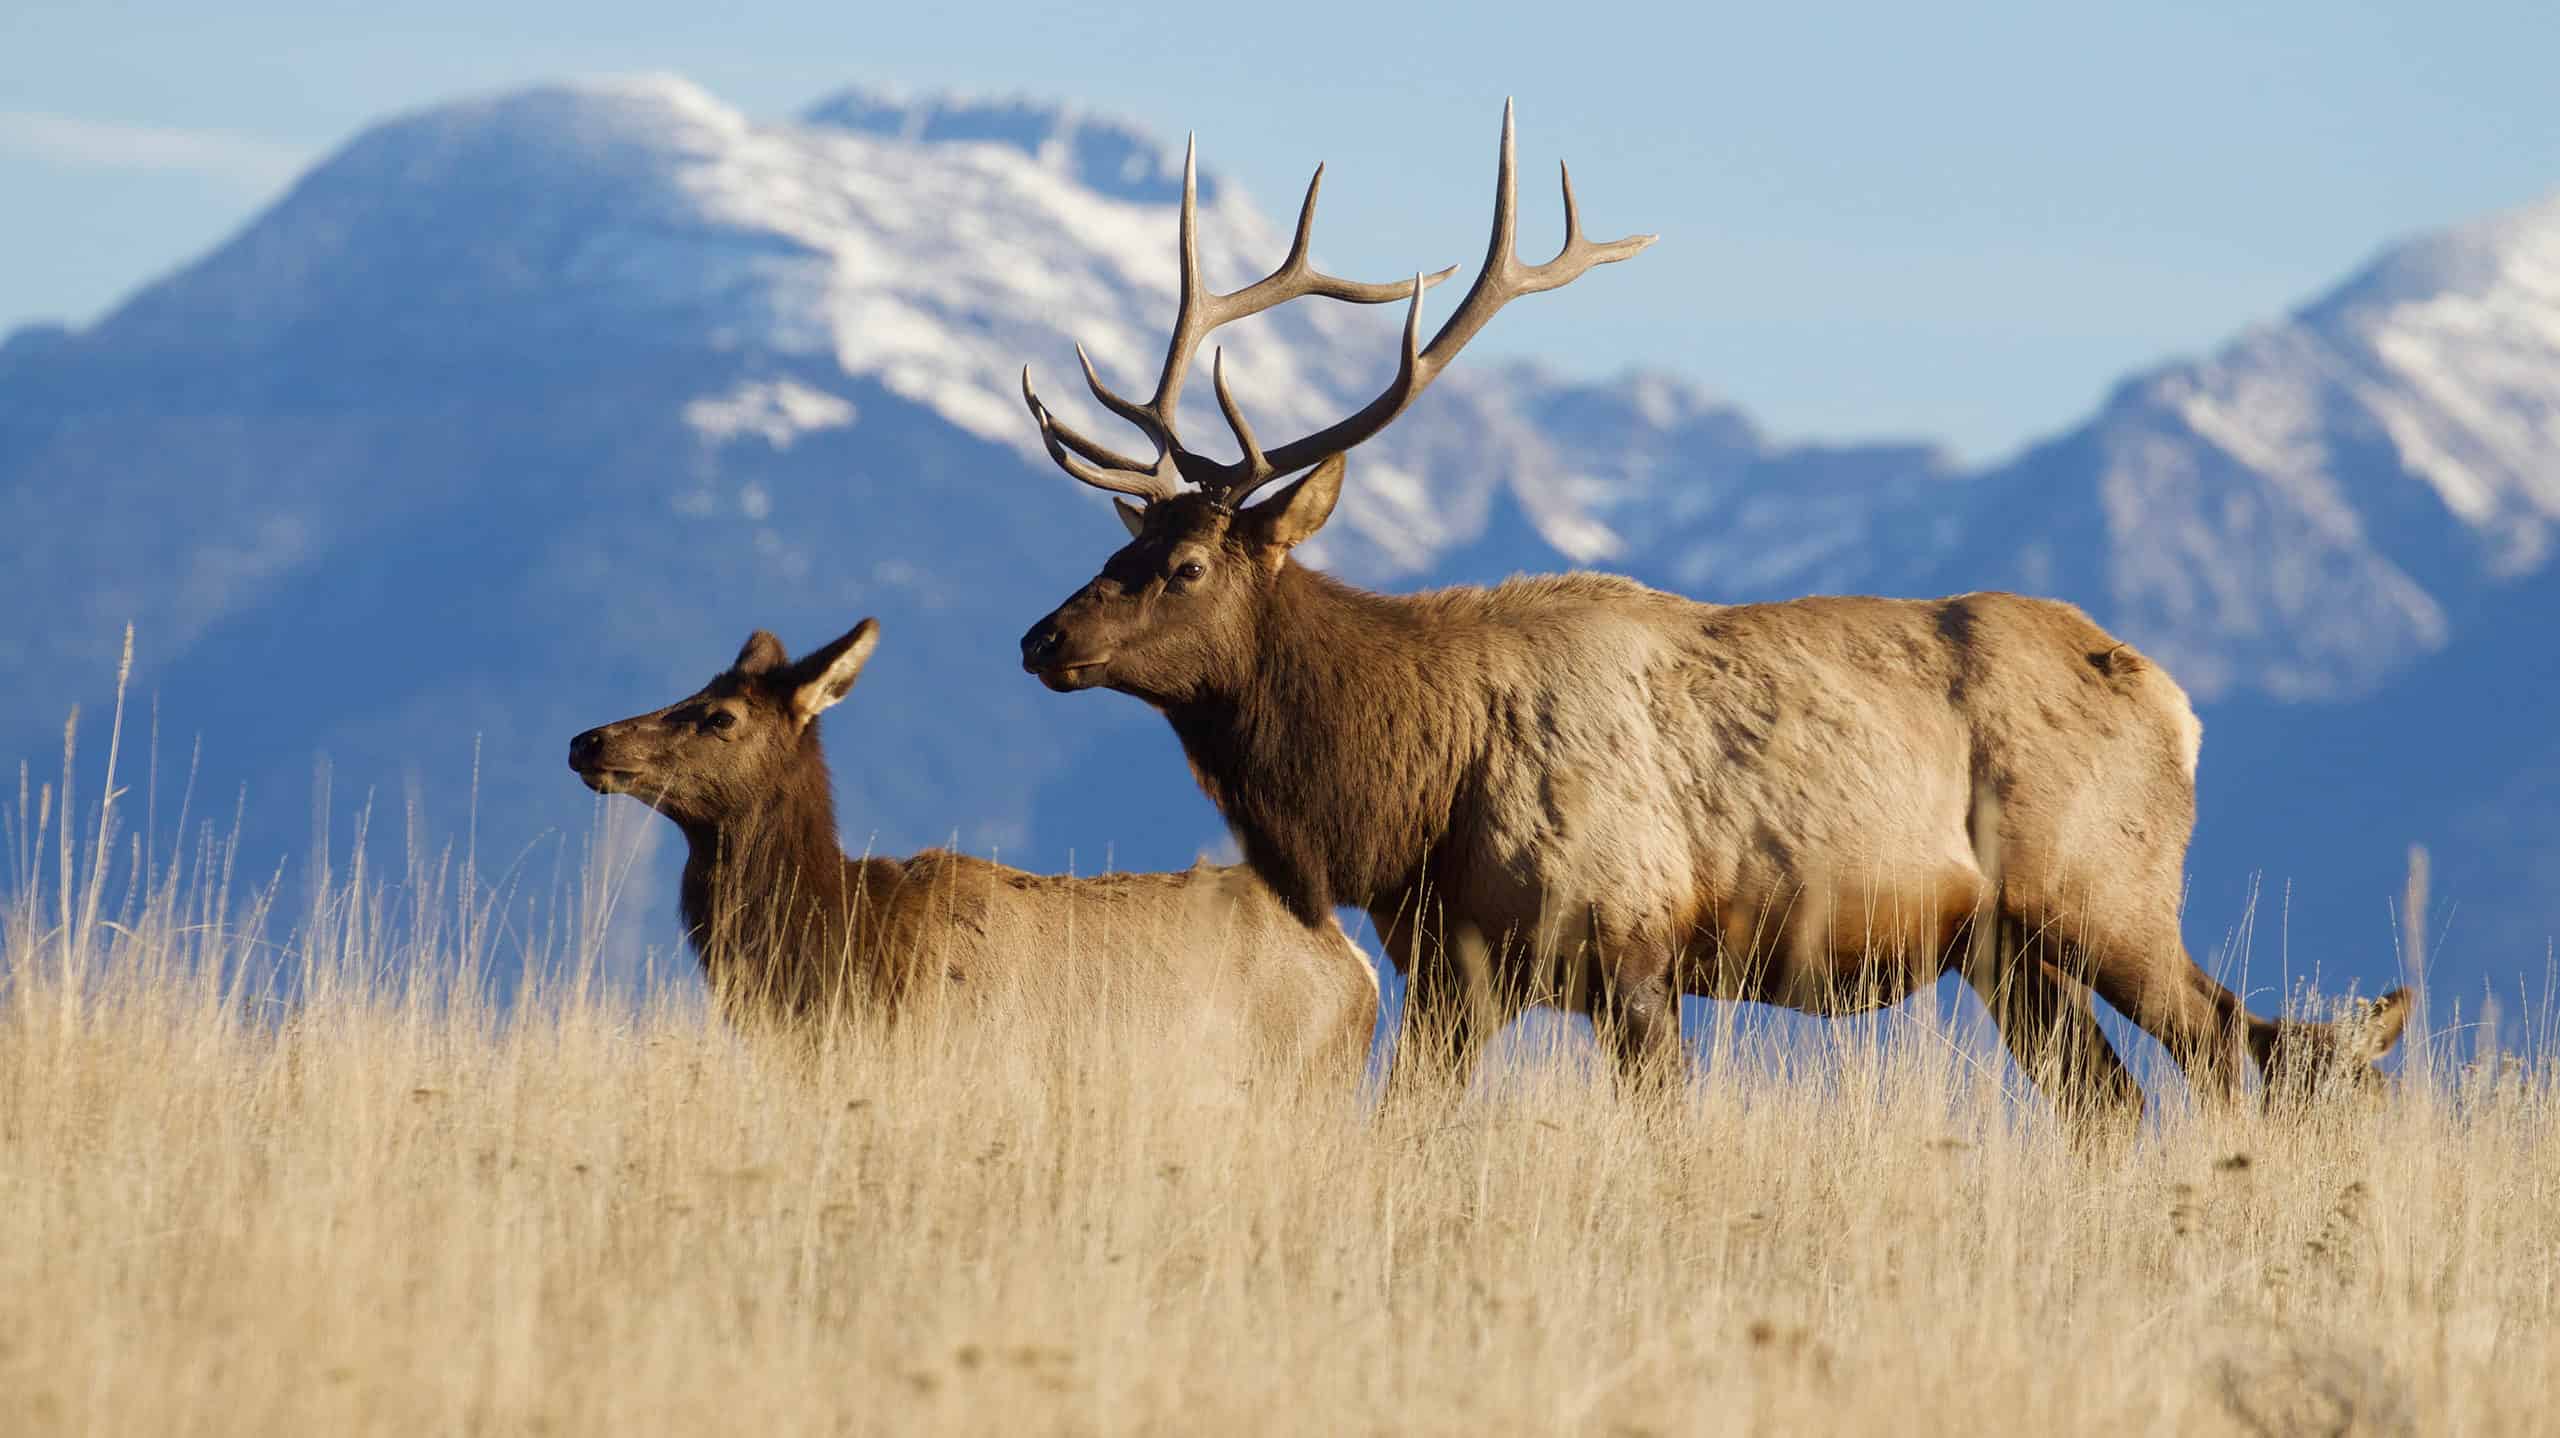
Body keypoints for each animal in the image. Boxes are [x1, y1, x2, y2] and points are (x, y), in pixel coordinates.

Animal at [1008, 106, 2406, 1115]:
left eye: (1188, 568)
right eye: (1123, 545)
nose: (1041, 638)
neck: (1408, 796)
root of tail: (2177, 704)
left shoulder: (1630, 951)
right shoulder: (1453, 974)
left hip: (2103, 888)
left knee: (2224, 1042)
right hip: (2002, 948)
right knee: (2114, 1102)